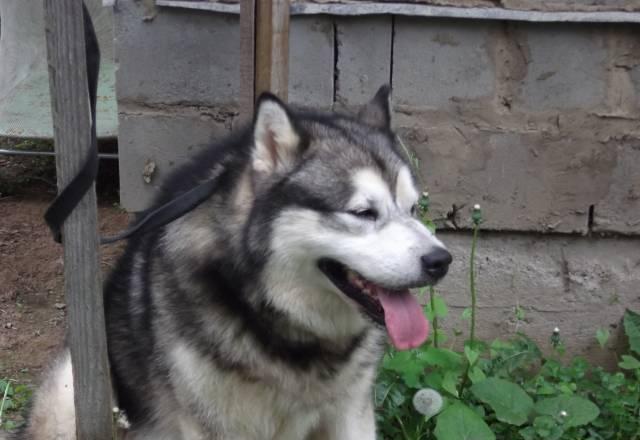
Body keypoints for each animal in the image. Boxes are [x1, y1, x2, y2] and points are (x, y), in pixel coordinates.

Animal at [17, 85, 451, 439]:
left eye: (413, 208)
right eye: (363, 212)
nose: (441, 261)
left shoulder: (351, 412)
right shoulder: (213, 424)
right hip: (70, 389)